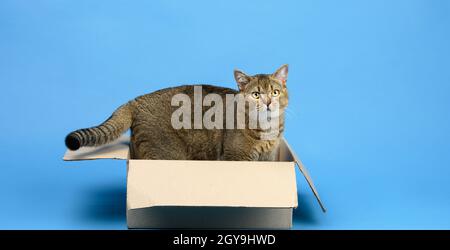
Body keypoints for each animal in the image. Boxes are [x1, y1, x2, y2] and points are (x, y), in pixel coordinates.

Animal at [64, 64, 288, 161]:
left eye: (275, 92)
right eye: (256, 95)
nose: (269, 102)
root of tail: (136, 99)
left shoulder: (268, 158)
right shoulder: (236, 157)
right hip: (165, 153)